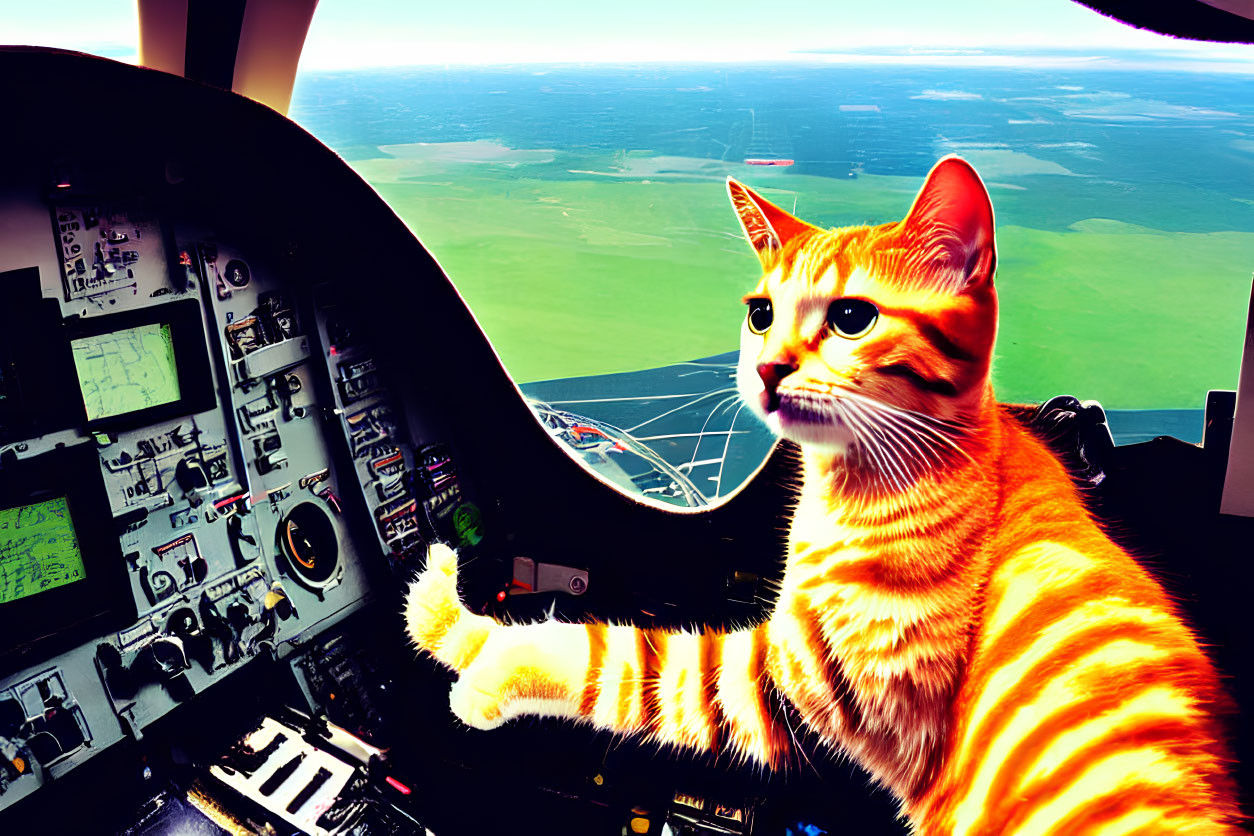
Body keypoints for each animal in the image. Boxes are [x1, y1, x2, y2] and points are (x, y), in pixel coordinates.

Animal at [406, 155, 1238, 832]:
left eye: (850, 318)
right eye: (760, 313)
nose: (767, 367)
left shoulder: (782, 682)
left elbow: (607, 656)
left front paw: (464, 639)